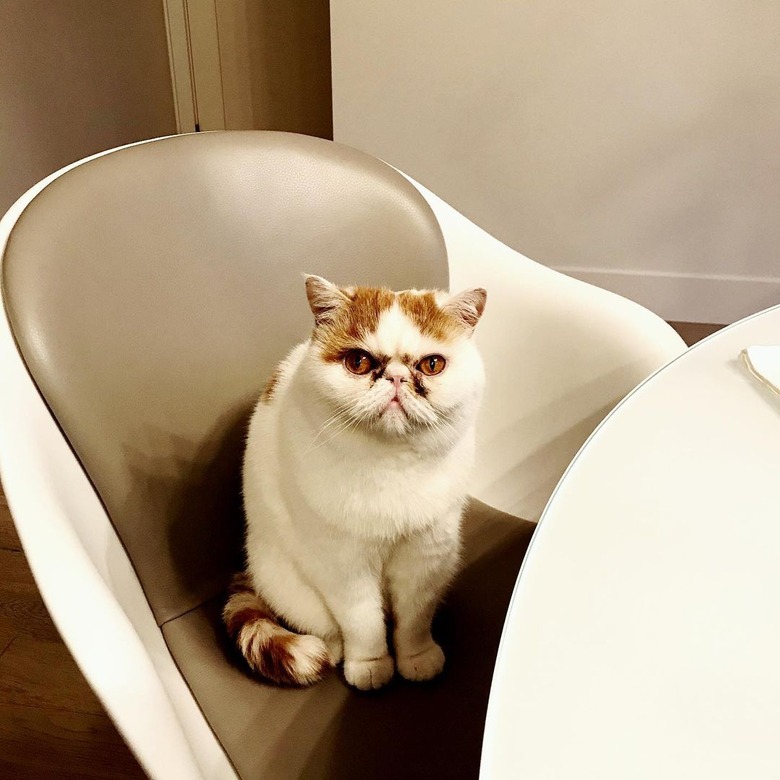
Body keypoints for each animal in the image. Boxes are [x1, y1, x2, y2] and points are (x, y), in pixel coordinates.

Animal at [222, 274, 484, 688]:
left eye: (432, 364)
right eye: (358, 362)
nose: (396, 377)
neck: (393, 467)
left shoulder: (424, 556)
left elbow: (414, 618)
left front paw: (416, 657)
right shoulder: (344, 565)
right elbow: (363, 622)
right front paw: (371, 665)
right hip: (289, 585)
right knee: (327, 630)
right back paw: (334, 652)